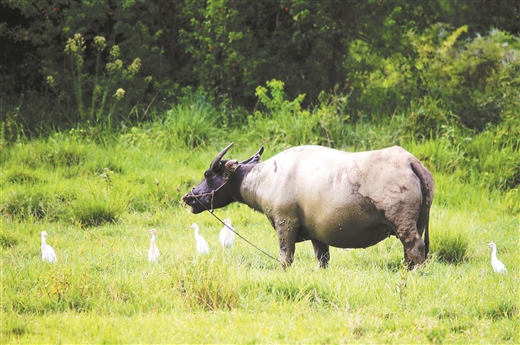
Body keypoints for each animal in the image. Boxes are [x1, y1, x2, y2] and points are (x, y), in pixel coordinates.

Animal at [183, 142, 434, 268]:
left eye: (207, 174)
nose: (188, 198)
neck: (268, 178)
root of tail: (410, 161)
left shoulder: (285, 224)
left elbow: (286, 258)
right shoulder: (318, 237)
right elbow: (322, 260)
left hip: (404, 225)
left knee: (416, 248)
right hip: (417, 224)